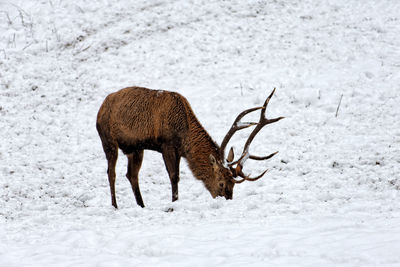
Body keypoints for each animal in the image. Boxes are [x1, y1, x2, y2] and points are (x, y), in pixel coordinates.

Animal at [95, 87, 282, 208]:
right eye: (221, 183)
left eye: (234, 185)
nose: (226, 200)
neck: (184, 133)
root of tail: (100, 108)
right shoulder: (167, 145)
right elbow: (174, 176)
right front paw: (174, 203)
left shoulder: (177, 151)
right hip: (108, 141)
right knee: (111, 173)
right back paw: (115, 206)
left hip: (135, 148)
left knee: (131, 174)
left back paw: (142, 205)